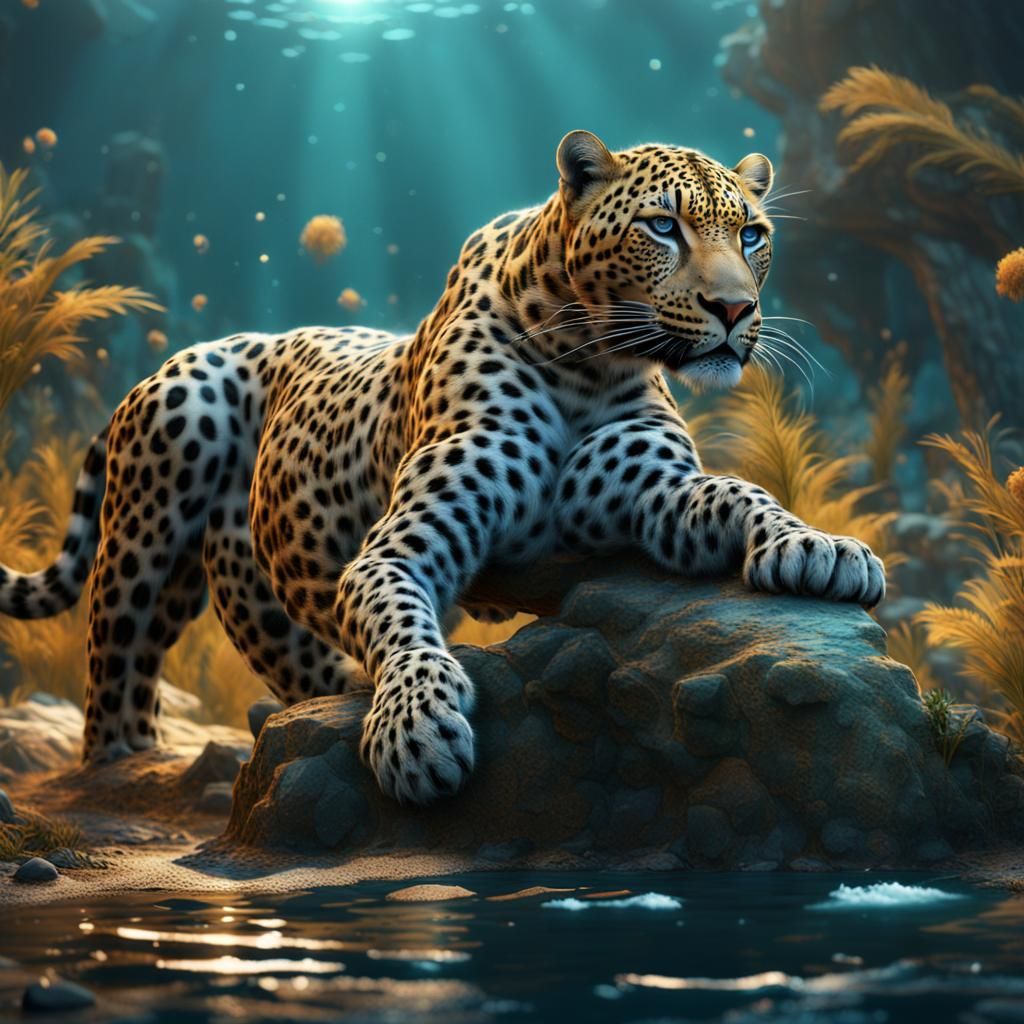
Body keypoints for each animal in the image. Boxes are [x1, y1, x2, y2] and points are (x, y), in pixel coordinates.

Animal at [0, 131, 885, 804]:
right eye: (663, 227)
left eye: (752, 235)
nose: (734, 310)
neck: (587, 359)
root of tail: (185, 353)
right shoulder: (397, 549)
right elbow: (403, 628)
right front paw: (415, 733)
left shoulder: (649, 492)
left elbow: (737, 490)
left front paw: (821, 549)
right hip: (155, 507)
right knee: (114, 670)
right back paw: (125, 766)